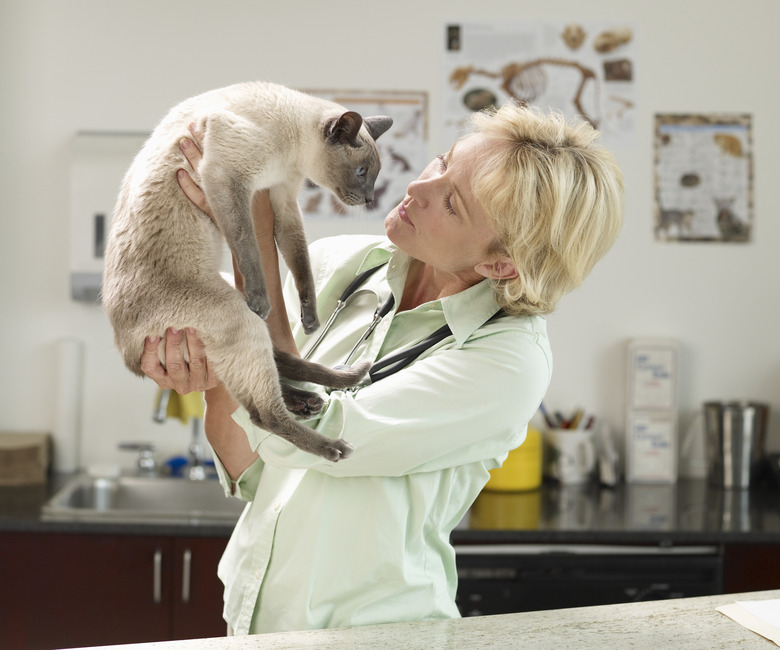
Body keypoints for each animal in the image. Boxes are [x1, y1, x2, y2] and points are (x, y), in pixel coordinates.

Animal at [103, 82, 394, 460]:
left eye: (373, 176)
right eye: (361, 173)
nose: (371, 199)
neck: (291, 156)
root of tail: (127, 353)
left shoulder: (282, 200)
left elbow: (300, 261)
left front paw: (310, 319)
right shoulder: (229, 179)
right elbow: (247, 247)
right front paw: (262, 299)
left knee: (274, 375)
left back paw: (314, 397)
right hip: (238, 315)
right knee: (262, 414)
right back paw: (332, 444)